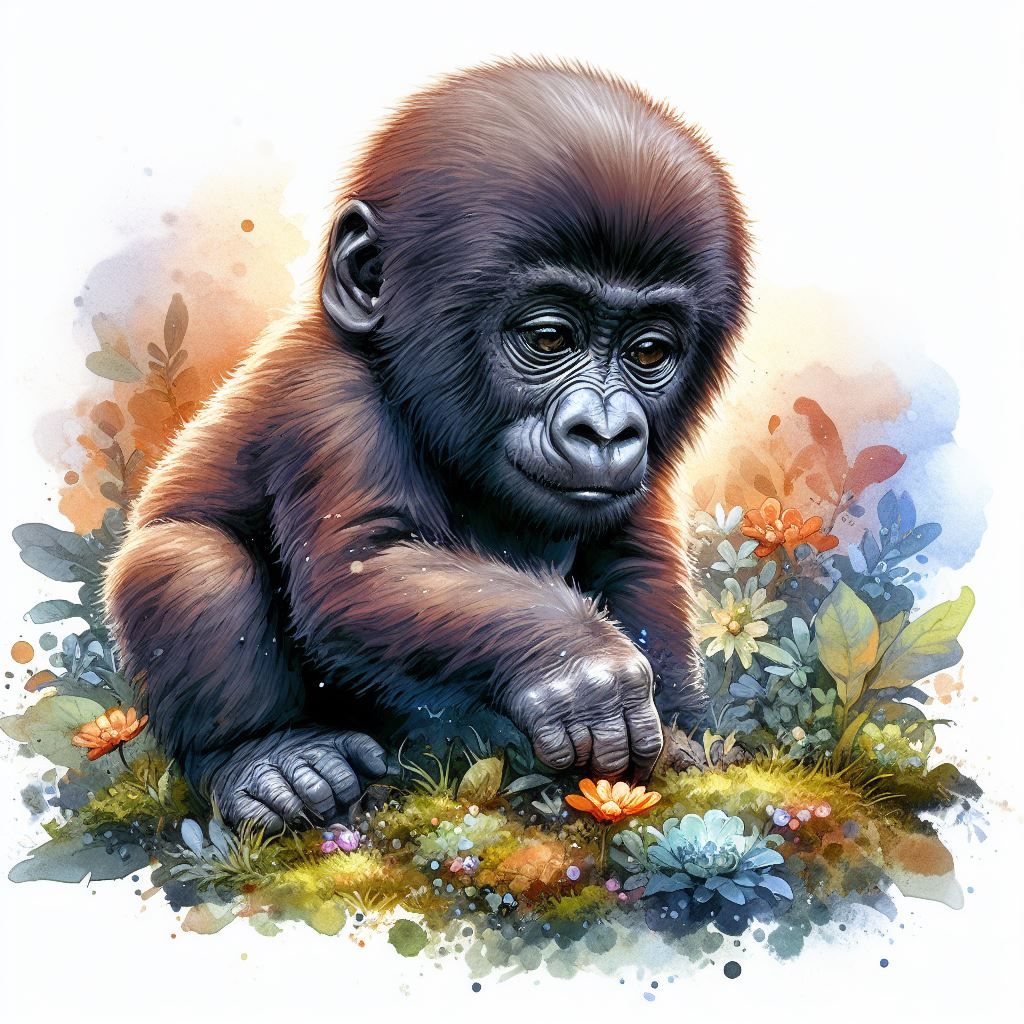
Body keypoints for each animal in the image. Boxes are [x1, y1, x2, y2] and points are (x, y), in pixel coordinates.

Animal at [103, 58, 750, 830]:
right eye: (549, 338)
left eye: (649, 352)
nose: (605, 430)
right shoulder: (330, 402)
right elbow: (364, 566)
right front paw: (581, 662)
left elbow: (637, 560)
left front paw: (687, 735)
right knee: (187, 559)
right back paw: (267, 759)